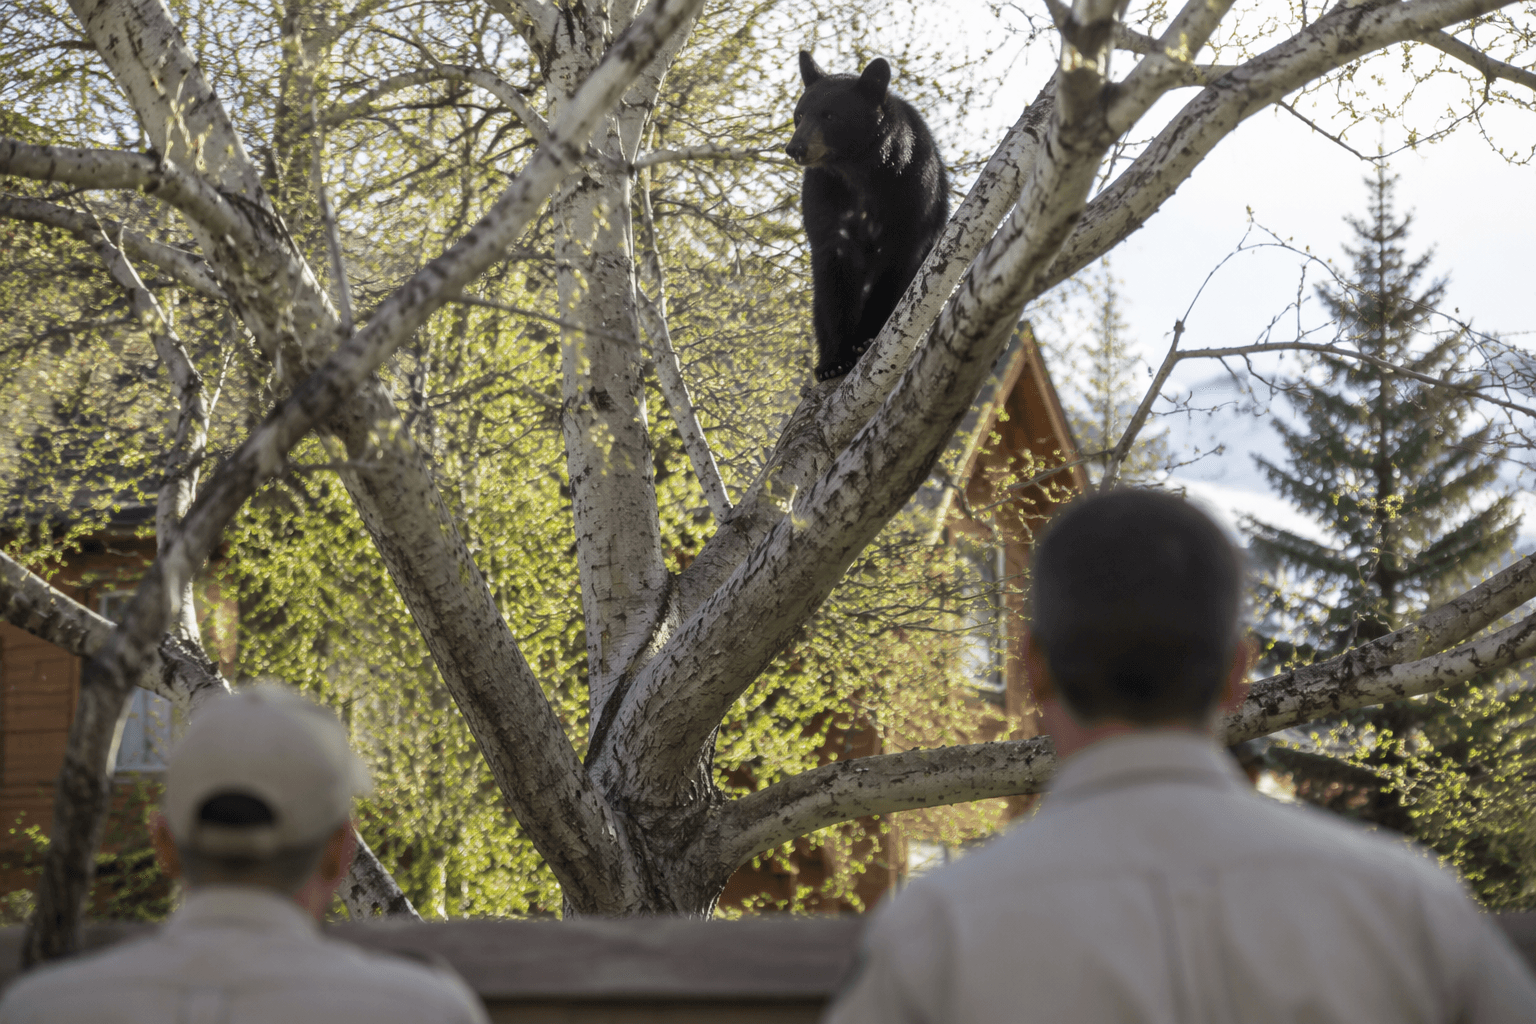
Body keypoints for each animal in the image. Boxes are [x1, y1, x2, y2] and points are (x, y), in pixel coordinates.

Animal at [785, 51, 949, 382]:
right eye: (799, 115)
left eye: (829, 116)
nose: (794, 148)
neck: (860, 171)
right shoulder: (826, 194)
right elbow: (832, 273)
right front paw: (833, 360)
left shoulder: (911, 190)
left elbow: (899, 263)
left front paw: (866, 338)